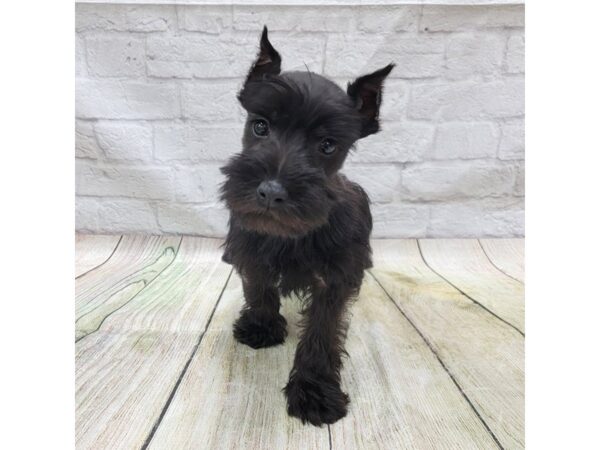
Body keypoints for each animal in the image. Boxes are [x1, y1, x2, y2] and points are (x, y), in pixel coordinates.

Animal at [220, 26, 394, 428]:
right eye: (260, 125)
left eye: (328, 145)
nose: (271, 192)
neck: (290, 236)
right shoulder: (250, 253)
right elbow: (259, 289)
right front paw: (261, 328)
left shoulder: (335, 280)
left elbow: (321, 332)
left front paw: (314, 393)